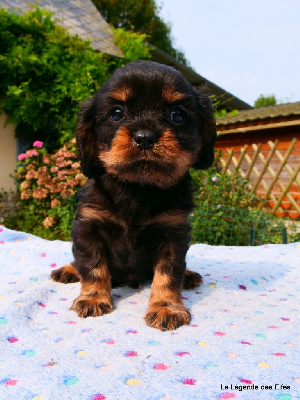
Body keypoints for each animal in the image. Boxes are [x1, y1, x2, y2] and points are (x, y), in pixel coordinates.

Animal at [51, 61, 216, 330]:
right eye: (116, 113)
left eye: (177, 115)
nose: (145, 138)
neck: (138, 188)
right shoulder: (88, 227)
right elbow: (93, 266)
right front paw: (93, 298)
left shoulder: (173, 232)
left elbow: (168, 274)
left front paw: (166, 307)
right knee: (78, 262)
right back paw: (68, 270)